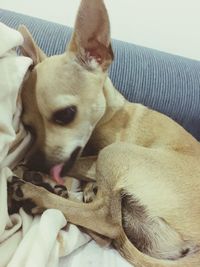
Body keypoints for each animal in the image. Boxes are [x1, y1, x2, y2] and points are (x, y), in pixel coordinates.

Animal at [14, 0, 200, 266]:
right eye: (29, 126)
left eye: (66, 115)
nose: (33, 163)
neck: (111, 111)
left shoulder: (96, 156)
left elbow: (79, 167)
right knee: (107, 230)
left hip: (115, 153)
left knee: (107, 222)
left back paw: (36, 193)